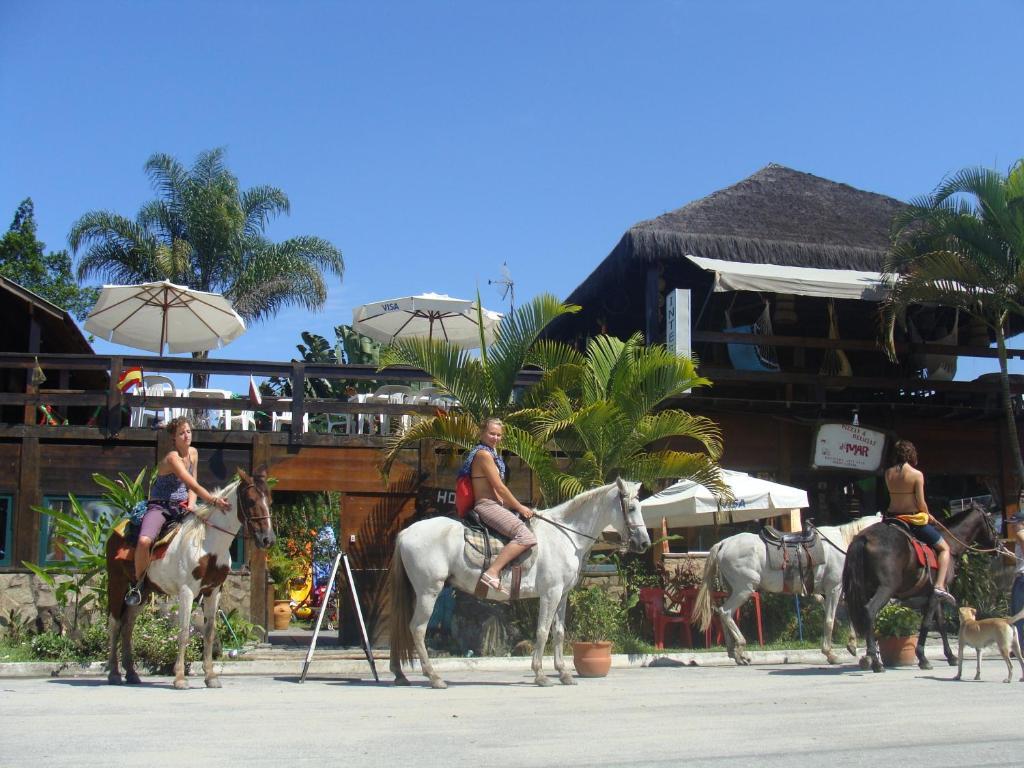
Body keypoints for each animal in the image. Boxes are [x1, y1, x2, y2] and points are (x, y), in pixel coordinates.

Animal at [105, 468, 274, 692]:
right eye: (251, 500)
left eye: (270, 500)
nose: (268, 539)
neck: (207, 543)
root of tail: (116, 529)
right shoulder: (187, 591)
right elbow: (184, 632)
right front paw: (179, 678)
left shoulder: (213, 591)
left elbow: (209, 632)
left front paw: (210, 676)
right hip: (117, 583)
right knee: (115, 623)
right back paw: (114, 673)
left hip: (143, 592)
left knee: (128, 625)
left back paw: (132, 673)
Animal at [387, 481, 651, 692]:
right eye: (631, 508)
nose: (644, 543)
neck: (564, 536)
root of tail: (406, 532)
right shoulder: (550, 593)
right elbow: (543, 631)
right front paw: (541, 674)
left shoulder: (562, 594)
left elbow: (559, 632)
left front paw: (564, 673)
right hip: (429, 591)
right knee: (418, 629)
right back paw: (434, 677)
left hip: (417, 592)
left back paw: (400, 674)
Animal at [692, 518, 876, 667]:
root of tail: (723, 543)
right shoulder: (833, 589)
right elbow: (829, 620)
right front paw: (830, 654)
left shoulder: (835, 591)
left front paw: (852, 645)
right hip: (744, 589)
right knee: (725, 612)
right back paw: (741, 650)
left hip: (734, 590)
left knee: (724, 614)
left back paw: (734, 652)